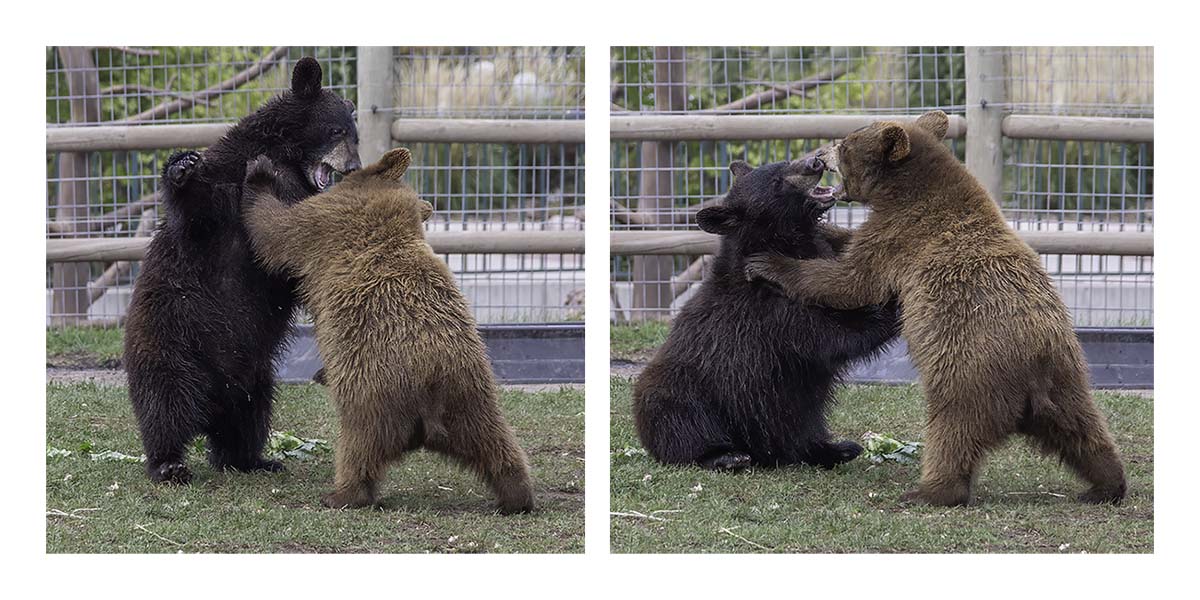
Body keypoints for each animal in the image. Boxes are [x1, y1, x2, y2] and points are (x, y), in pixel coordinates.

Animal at [124, 57, 362, 484]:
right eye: (336, 130)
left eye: (356, 135)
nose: (353, 166)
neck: (286, 159)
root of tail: (210, 406)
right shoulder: (226, 185)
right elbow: (198, 209)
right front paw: (181, 166)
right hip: (170, 338)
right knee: (164, 404)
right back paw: (169, 463)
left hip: (256, 373)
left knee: (250, 415)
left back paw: (252, 458)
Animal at [240, 147, 535, 514]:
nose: (345, 167)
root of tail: (430, 397)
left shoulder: (325, 224)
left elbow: (277, 229)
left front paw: (260, 172)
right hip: (469, 399)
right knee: (497, 444)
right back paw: (518, 495)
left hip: (374, 392)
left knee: (357, 448)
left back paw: (340, 494)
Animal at [631, 154, 901, 471]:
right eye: (776, 182)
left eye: (784, 162)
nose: (814, 162)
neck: (783, 241)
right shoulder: (769, 311)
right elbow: (832, 335)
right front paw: (892, 305)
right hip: (679, 391)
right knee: (679, 421)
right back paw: (725, 455)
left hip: (800, 418)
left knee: (803, 429)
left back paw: (835, 448)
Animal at [745, 110, 1127, 506]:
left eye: (846, 144)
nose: (820, 154)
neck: (901, 191)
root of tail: (1033, 371)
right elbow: (849, 249)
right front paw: (828, 230)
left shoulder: (899, 237)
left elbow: (850, 280)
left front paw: (768, 263)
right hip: (1068, 378)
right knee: (1084, 431)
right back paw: (1106, 484)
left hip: (968, 371)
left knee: (952, 432)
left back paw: (928, 490)